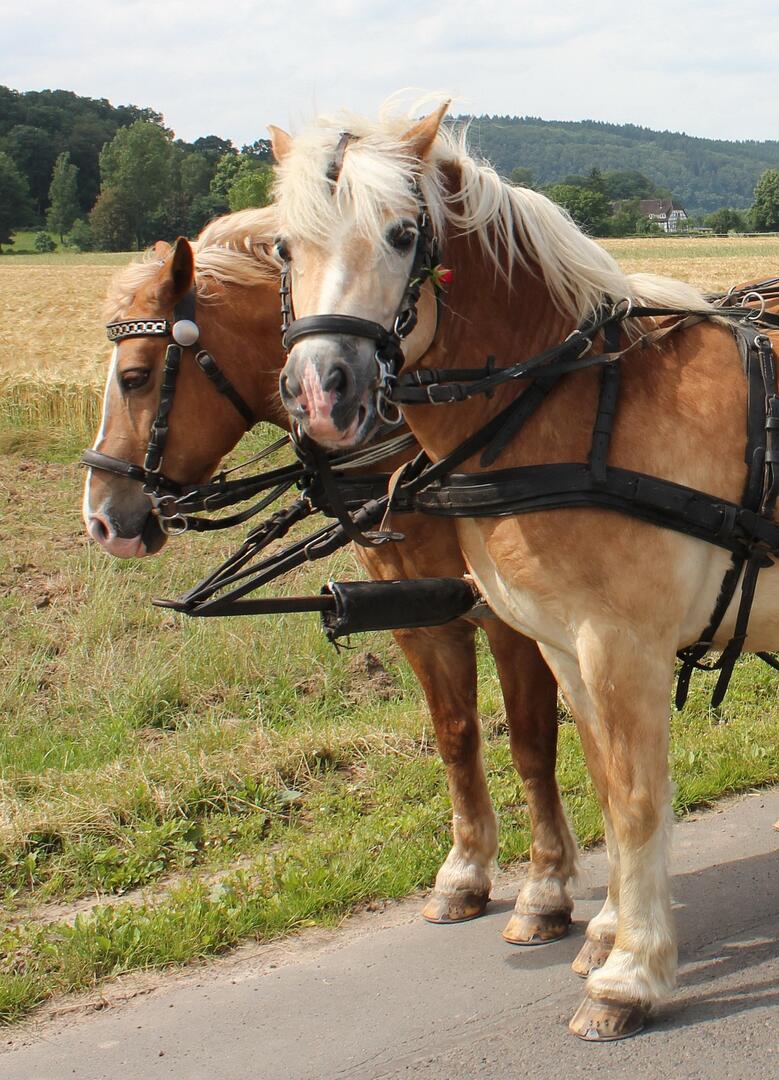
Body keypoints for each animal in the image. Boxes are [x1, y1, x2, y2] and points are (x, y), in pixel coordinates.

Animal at [81, 208, 580, 945]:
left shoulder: (512, 617)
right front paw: (463, 872)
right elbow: (455, 737)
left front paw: (545, 887)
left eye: (138, 376)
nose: (102, 520)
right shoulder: (421, 619)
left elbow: (528, 741)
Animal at [270, 102, 779, 1039]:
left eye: (402, 235)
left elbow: (638, 798)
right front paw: (606, 931)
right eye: (283, 246)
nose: (325, 390)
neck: (568, 399)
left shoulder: (622, 646)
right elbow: (604, 787)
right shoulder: (562, 647)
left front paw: (628, 975)